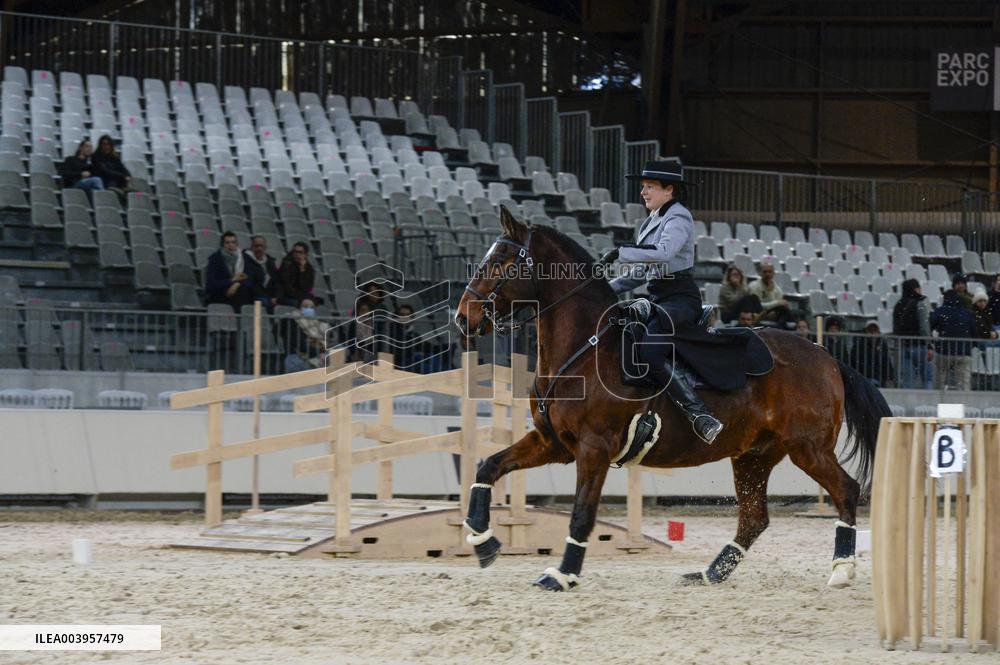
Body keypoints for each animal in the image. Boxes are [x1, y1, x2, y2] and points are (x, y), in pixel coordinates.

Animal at [453, 207, 891, 592]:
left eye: (501, 263)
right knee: (754, 518)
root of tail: (826, 355)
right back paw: (710, 574)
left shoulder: (594, 449)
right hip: (754, 455)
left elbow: (581, 515)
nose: (462, 319)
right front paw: (483, 541)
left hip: (808, 448)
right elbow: (488, 466)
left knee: (845, 491)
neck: (584, 350)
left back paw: (841, 570)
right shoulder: (553, 443)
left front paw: (562, 575)